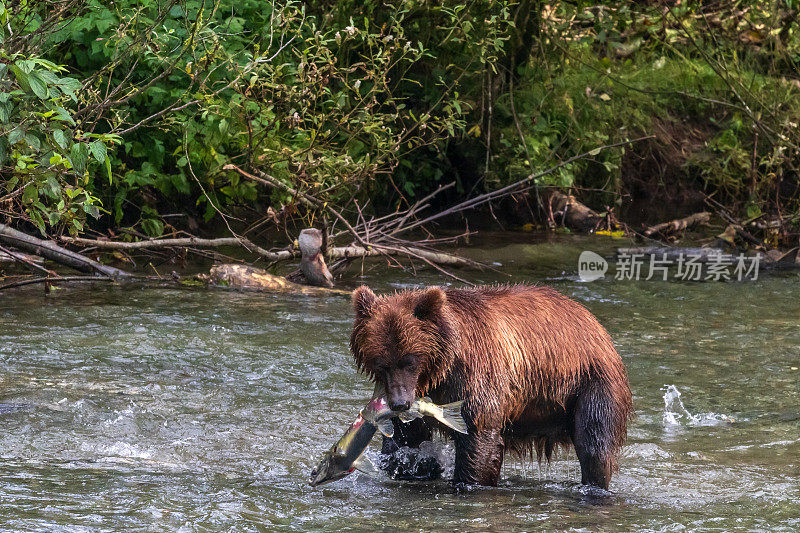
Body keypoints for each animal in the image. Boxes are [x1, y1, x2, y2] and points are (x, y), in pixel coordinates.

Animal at [348, 284, 632, 488]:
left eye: (410, 360)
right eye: (381, 363)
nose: (400, 403)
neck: (442, 369)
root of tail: (593, 321)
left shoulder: (476, 374)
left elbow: (479, 434)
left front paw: (467, 482)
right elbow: (406, 441)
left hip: (588, 383)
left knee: (594, 443)